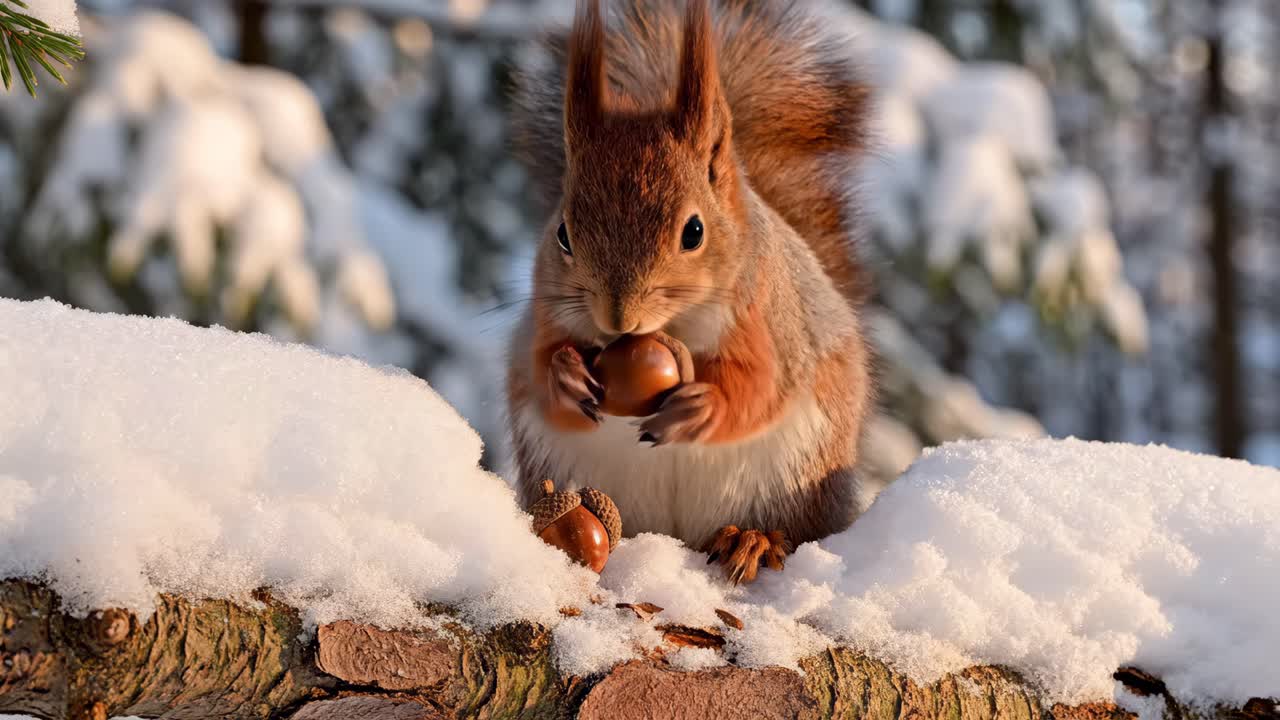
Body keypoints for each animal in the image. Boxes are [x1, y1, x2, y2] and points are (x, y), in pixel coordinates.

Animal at [506, 0, 877, 584]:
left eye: (694, 232)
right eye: (562, 233)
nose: (618, 318)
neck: (671, 325)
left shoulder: (771, 324)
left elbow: (761, 388)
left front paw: (702, 408)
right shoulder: (545, 318)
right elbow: (538, 374)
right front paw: (564, 375)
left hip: (795, 478)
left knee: (787, 528)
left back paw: (752, 541)